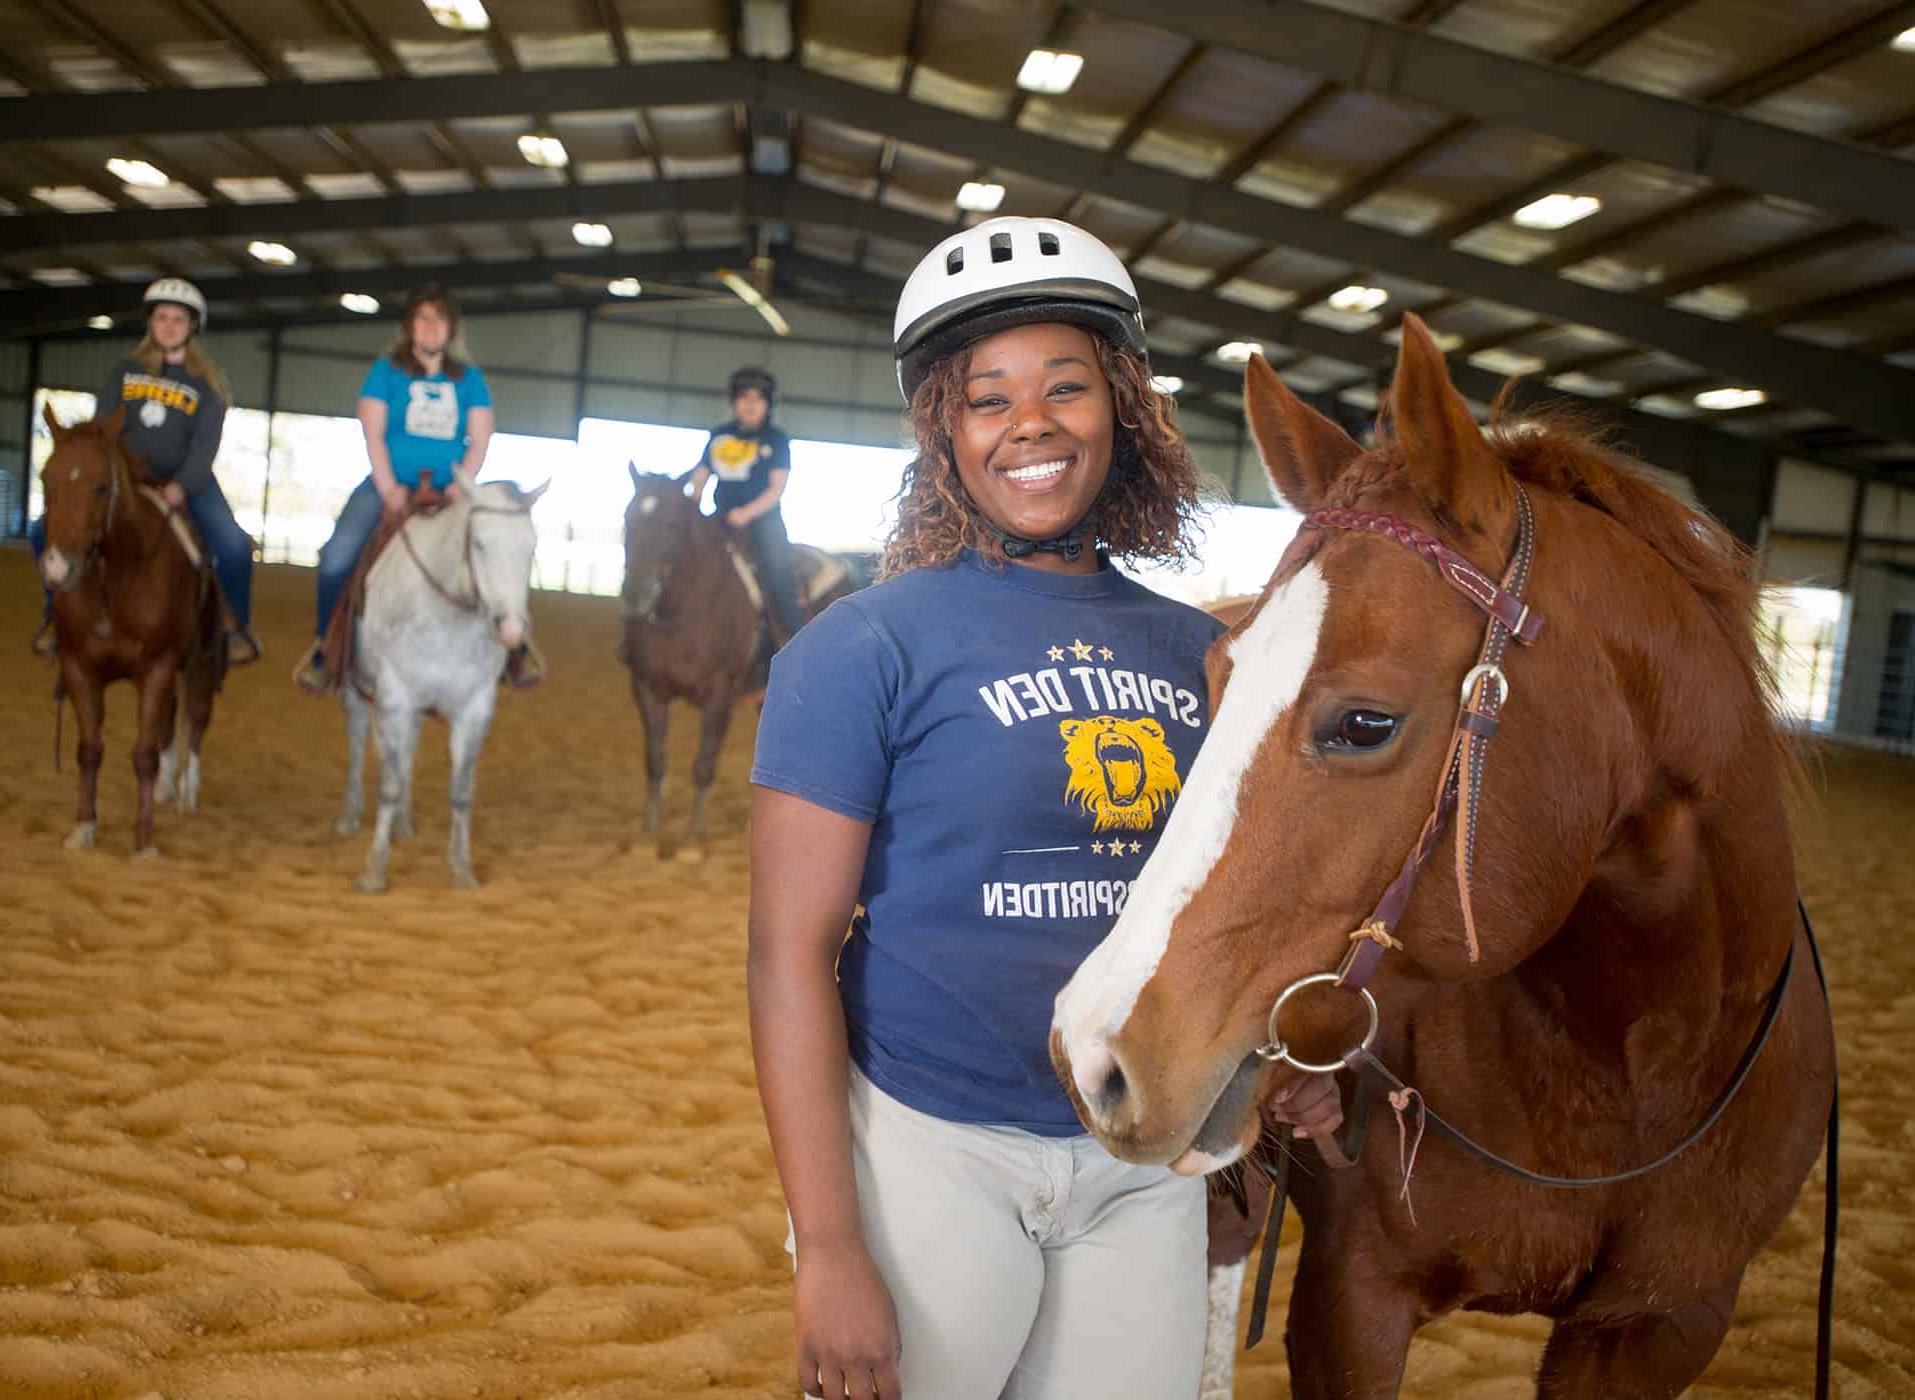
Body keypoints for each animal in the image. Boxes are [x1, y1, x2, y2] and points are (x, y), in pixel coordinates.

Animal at [36, 407, 221, 854]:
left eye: (101, 487)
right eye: (45, 479)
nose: (57, 568)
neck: (113, 580)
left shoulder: (157, 668)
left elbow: (144, 754)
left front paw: (145, 841)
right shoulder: (79, 668)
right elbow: (89, 750)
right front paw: (83, 827)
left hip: (200, 663)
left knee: (196, 718)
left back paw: (187, 792)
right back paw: (167, 789)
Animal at [616, 471, 857, 858]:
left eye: (671, 523)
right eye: (629, 517)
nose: (635, 595)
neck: (685, 609)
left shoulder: (719, 694)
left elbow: (703, 764)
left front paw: (692, 841)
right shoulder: (647, 688)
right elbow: (655, 761)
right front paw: (646, 836)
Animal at [1057, 319, 1830, 1400]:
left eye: (1365, 722)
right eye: (1214, 679)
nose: (1090, 1047)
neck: (1631, 1070)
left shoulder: (1660, 1325)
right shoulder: (1352, 1301)